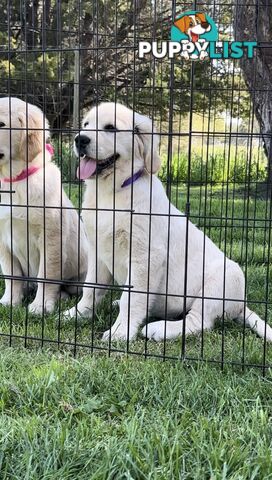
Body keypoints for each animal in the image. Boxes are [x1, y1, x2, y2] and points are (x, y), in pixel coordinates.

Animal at [0, 97, 87, 316]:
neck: (14, 182)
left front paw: (41, 306)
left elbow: (46, 276)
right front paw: (10, 302)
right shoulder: (3, 239)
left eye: (1, 124)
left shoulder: (51, 239)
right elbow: (11, 274)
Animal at [63, 102, 272, 342]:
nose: (80, 139)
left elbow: (132, 298)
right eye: (86, 124)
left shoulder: (146, 256)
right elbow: (91, 288)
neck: (112, 192)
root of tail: (240, 306)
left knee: (200, 321)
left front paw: (120, 331)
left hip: (225, 278)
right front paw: (78, 313)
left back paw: (159, 329)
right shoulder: (98, 250)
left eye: (111, 128)